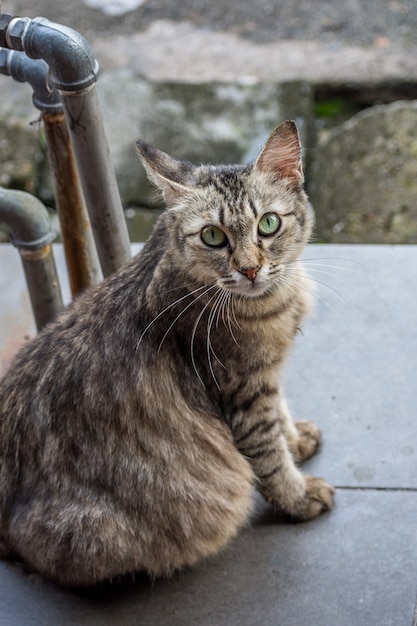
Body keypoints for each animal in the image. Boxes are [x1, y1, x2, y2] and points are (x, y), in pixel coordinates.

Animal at [0, 118, 334, 584]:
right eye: (212, 236)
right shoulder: (243, 392)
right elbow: (269, 457)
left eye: (268, 224)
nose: (250, 270)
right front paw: (298, 497)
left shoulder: (267, 376)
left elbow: (281, 416)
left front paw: (296, 439)